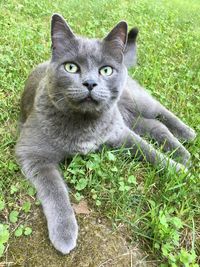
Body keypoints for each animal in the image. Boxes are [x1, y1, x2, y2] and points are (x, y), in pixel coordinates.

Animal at [15, 13, 195, 255]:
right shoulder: (32, 152)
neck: (85, 123)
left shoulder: (120, 133)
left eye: (106, 70)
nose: (90, 83)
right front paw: (64, 233)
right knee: (154, 126)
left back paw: (187, 139)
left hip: (135, 101)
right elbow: (54, 189)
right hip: (126, 116)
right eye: (71, 67)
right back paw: (182, 152)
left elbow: (149, 151)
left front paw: (178, 172)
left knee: (159, 114)